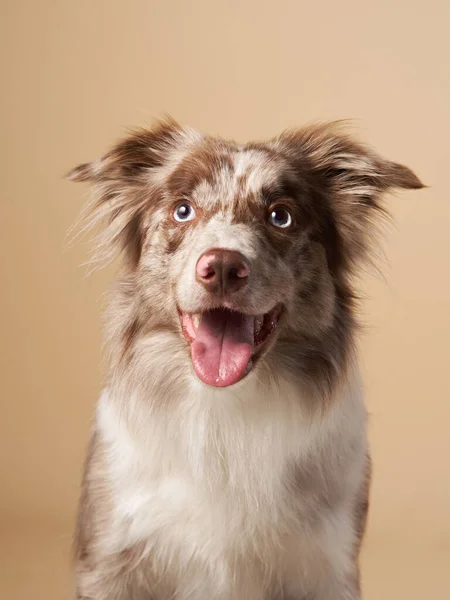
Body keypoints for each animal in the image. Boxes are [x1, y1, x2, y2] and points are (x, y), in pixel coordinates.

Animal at [67, 118, 422, 600]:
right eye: (182, 210)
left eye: (281, 216)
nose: (221, 267)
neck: (225, 409)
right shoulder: (109, 558)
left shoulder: (327, 563)